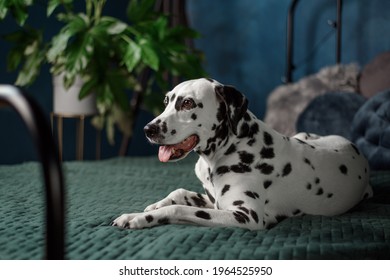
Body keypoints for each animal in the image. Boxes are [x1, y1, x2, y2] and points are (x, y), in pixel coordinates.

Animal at [112, 77, 372, 230]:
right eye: (167, 100)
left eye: (187, 103)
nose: (148, 129)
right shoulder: (212, 200)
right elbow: (179, 193)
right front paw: (154, 205)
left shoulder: (245, 216)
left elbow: (179, 209)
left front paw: (136, 217)